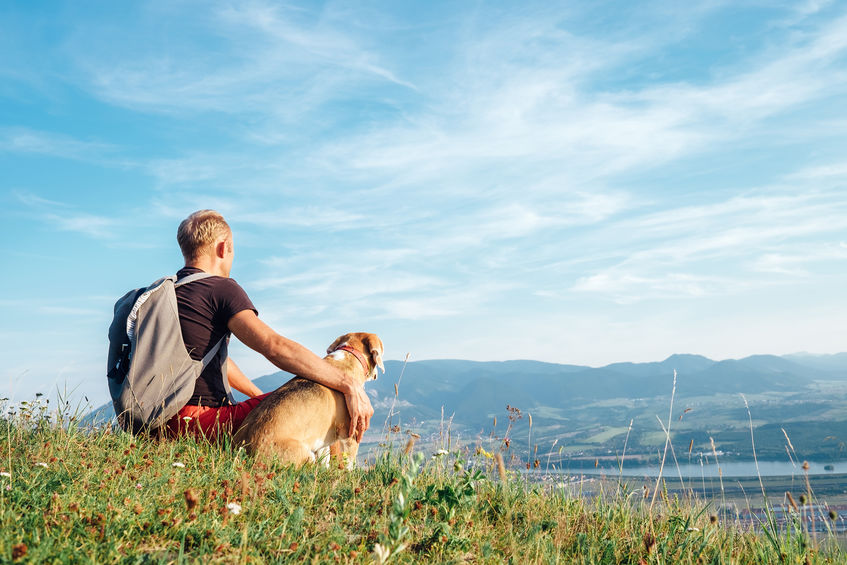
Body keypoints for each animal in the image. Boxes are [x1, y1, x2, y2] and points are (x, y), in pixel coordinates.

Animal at [235, 330, 388, 468]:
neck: (350, 354)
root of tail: (244, 451)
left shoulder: (323, 441)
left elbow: (325, 461)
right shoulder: (351, 434)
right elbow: (349, 464)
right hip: (306, 455)